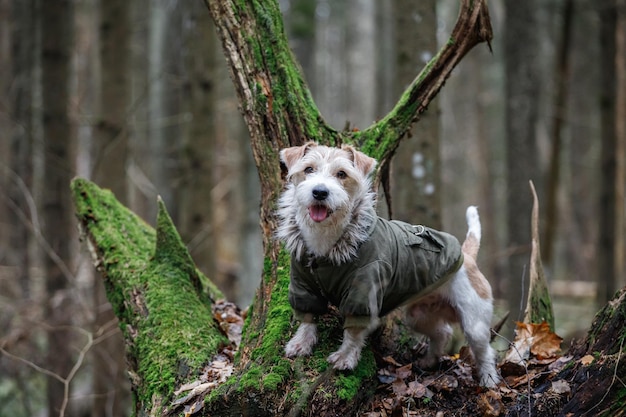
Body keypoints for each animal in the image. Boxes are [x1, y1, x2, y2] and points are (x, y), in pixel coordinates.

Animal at [276, 141, 500, 386]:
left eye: (342, 174)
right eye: (308, 169)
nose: (319, 192)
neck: (327, 243)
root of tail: (466, 255)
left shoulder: (363, 293)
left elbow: (353, 331)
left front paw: (345, 357)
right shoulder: (302, 284)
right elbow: (307, 316)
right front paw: (301, 343)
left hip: (474, 320)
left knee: (484, 350)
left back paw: (489, 380)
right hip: (418, 314)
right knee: (443, 332)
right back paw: (428, 361)